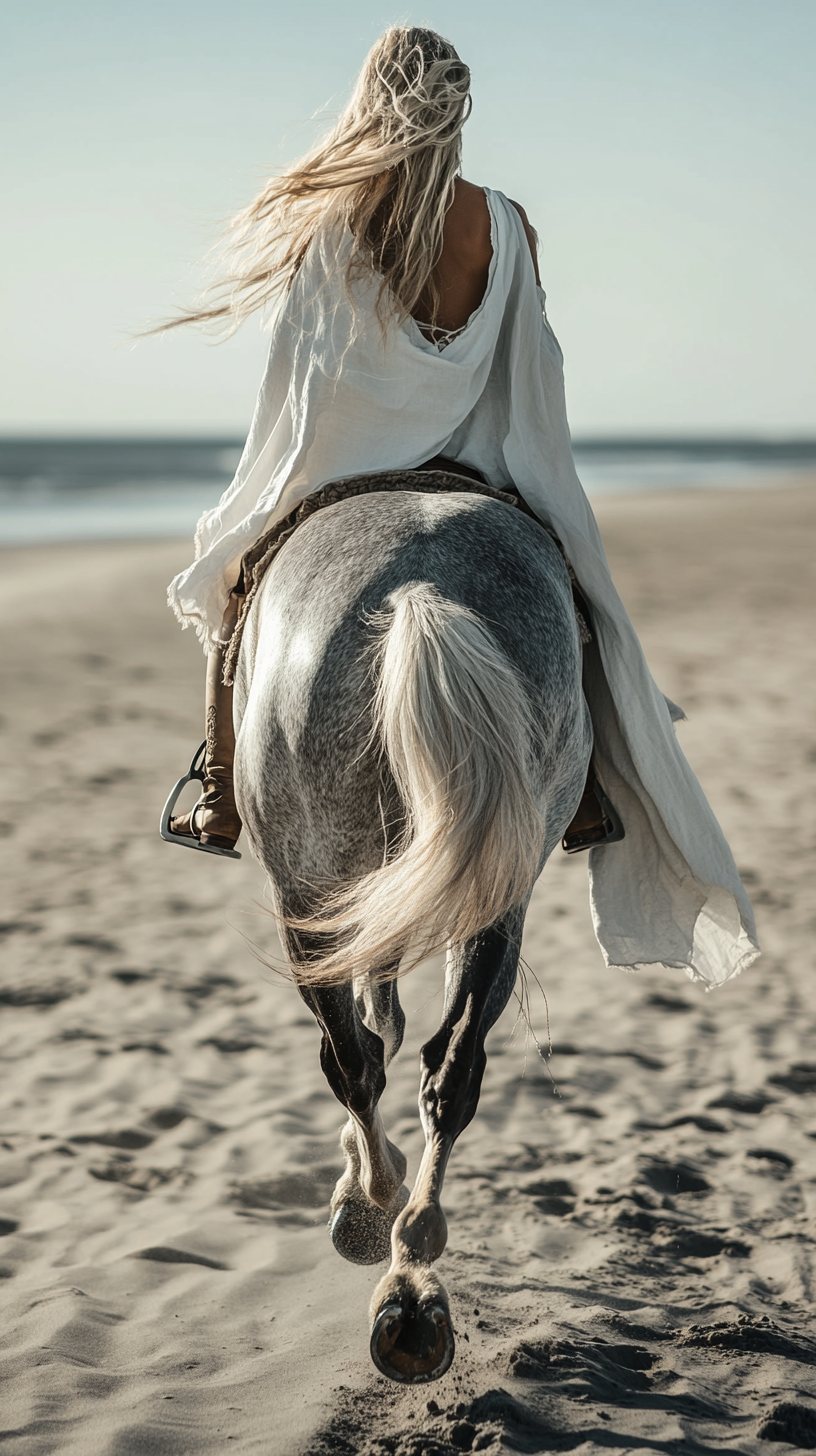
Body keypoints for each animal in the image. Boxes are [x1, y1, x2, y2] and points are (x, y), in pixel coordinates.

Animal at [233, 483, 588, 1380]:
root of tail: (423, 584)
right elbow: (393, 1028)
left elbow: (367, 1036)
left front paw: (360, 1191)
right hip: (497, 889)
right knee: (449, 1071)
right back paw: (416, 1281)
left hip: (308, 890)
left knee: (353, 1060)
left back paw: (379, 1220)